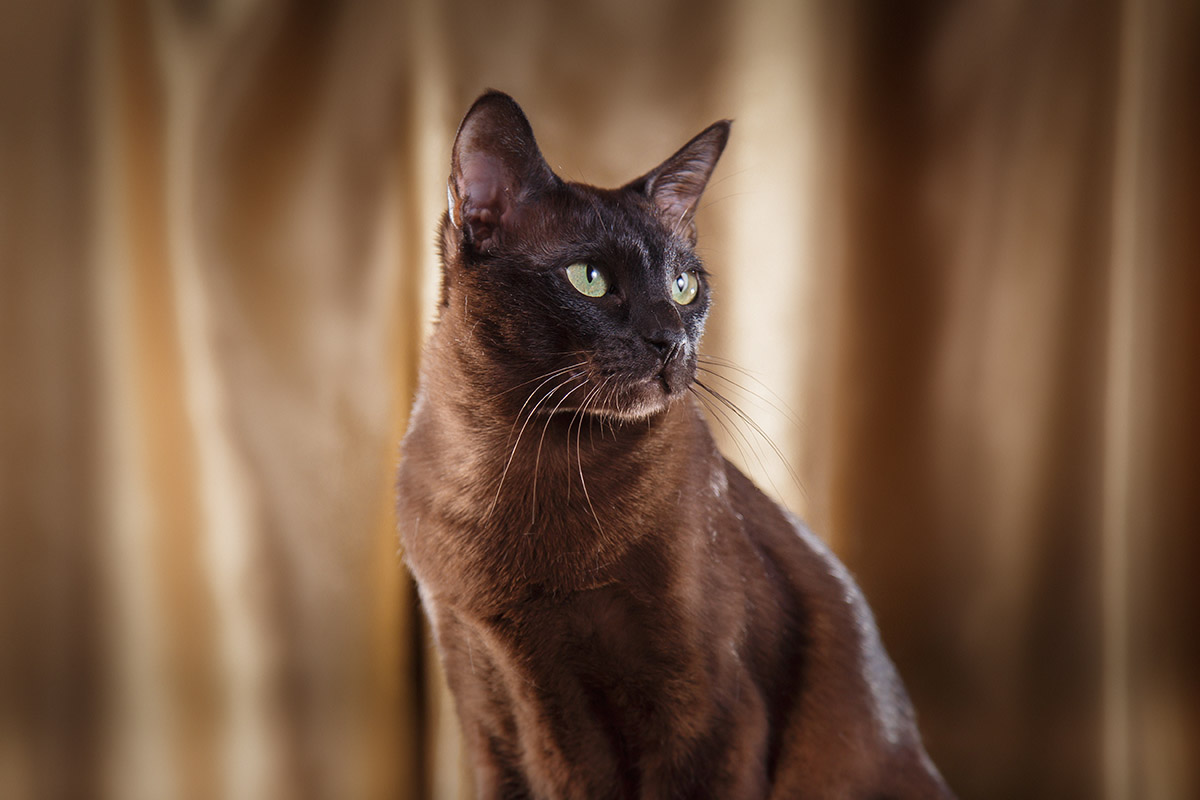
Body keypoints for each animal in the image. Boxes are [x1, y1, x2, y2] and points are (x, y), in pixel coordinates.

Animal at [398, 90, 950, 796]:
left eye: (685, 286)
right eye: (589, 277)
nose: (671, 342)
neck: (520, 457)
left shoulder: (708, 716)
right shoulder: (483, 702)